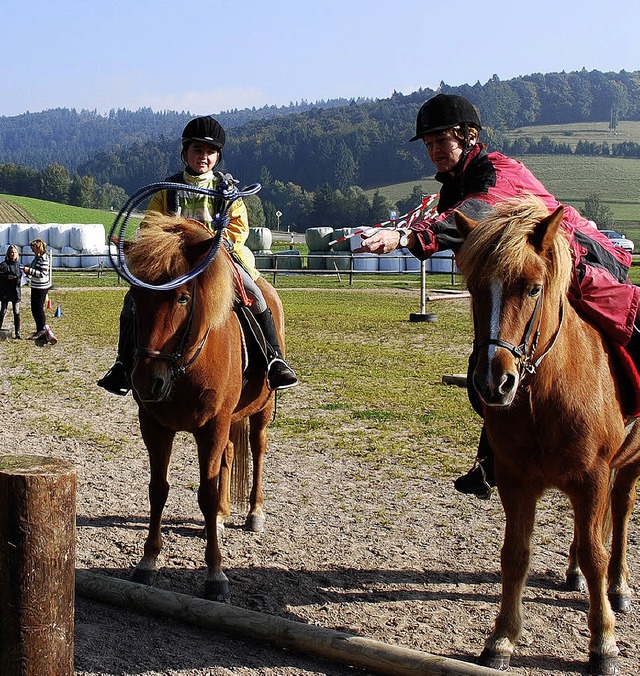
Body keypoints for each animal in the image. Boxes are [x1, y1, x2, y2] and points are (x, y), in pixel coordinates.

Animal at [125, 214, 282, 600]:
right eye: (136, 296)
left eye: (183, 298)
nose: (147, 381)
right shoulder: (153, 424)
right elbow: (158, 489)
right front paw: (148, 561)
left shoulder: (213, 425)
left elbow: (207, 493)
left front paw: (215, 574)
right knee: (228, 456)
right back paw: (225, 515)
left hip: (261, 411)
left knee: (257, 450)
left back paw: (254, 513)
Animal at [456, 193, 640, 672]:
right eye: (474, 289)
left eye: (533, 288)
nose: (493, 383)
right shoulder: (516, 480)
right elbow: (515, 554)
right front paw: (502, 638)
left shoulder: (593, 478)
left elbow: (596, 553)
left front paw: (603, 643)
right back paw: (573, 573)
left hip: (629, 465)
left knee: (619, 513)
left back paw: (619, 586)